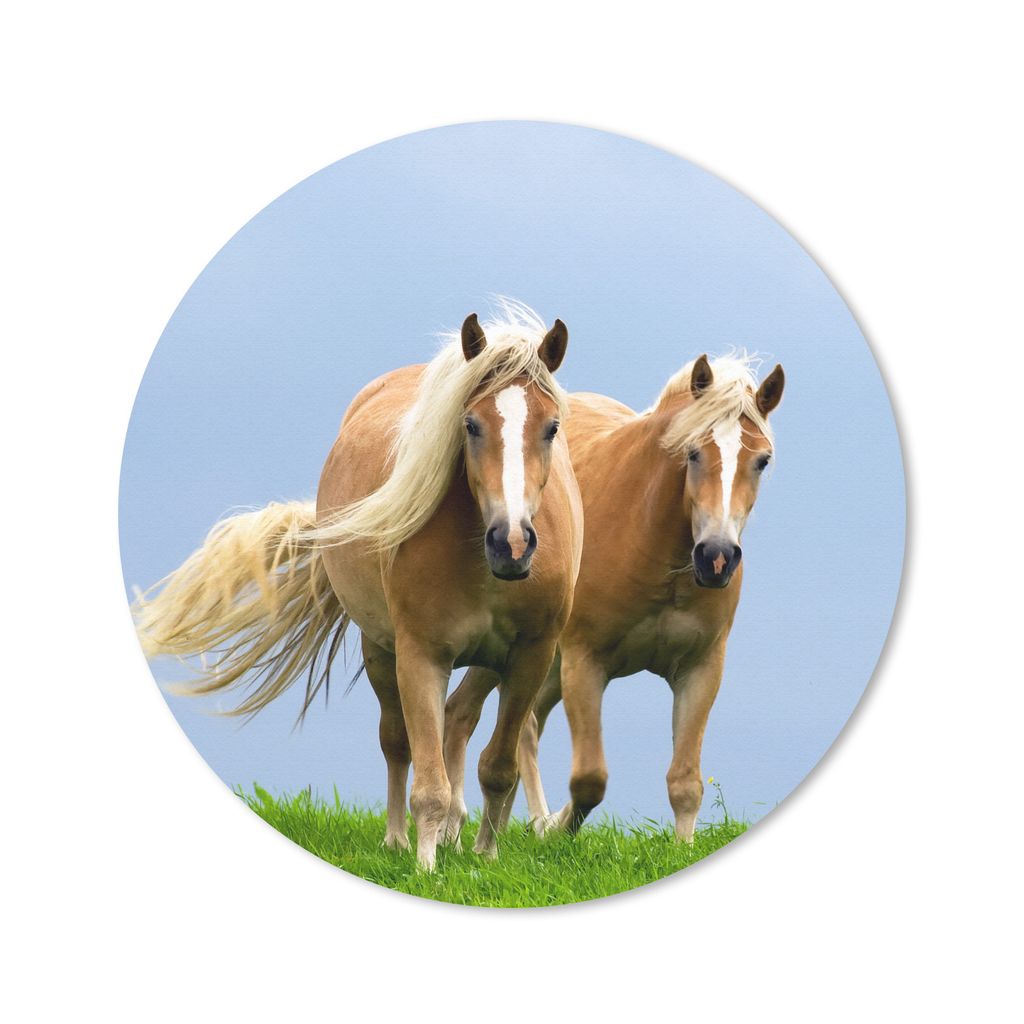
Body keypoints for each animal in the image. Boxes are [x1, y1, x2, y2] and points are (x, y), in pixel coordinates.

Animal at [133, 303, 584, 870]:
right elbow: (427, 784)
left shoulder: (531, 657)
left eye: (551, 428)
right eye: (471, 424)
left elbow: (499, 768)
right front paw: (427, 869)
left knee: (460, 723)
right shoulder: (420, 655)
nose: (513, 543)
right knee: (397, 742)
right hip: (379, 648)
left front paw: (486, 859)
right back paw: (398, 840)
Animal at [443, 353, 784, 841]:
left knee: (490, 717)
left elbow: (686, 783)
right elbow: (589, 779)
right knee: (489, 721)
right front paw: (555, 829)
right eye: (693, 452)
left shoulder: (701, 669)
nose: (716, 557)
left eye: (762, 460)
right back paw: (481, 824)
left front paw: (682, 846)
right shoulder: (585, 663)